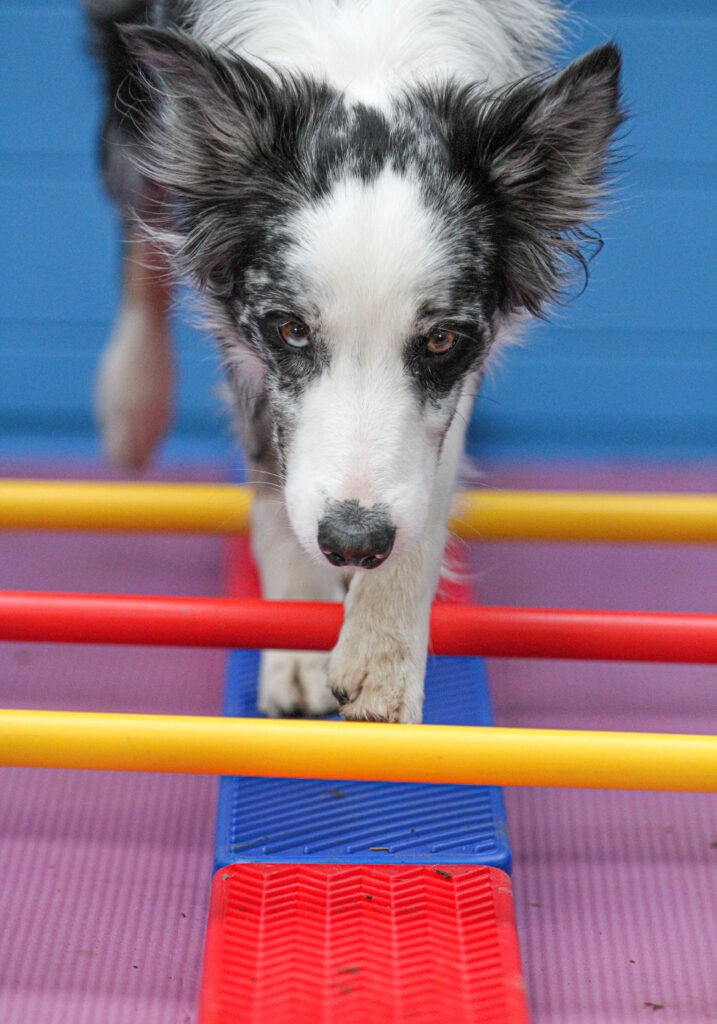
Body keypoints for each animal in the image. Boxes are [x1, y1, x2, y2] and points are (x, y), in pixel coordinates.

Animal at [85, 0, 622, 720]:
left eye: (441, 341)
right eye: (289, 330)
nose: (354, 544)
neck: (367, 37)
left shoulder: (466, 354)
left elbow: (430, 474)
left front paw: (382, 649)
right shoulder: (250, 338)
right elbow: (272, 472)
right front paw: (298, 634)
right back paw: (135, 399)